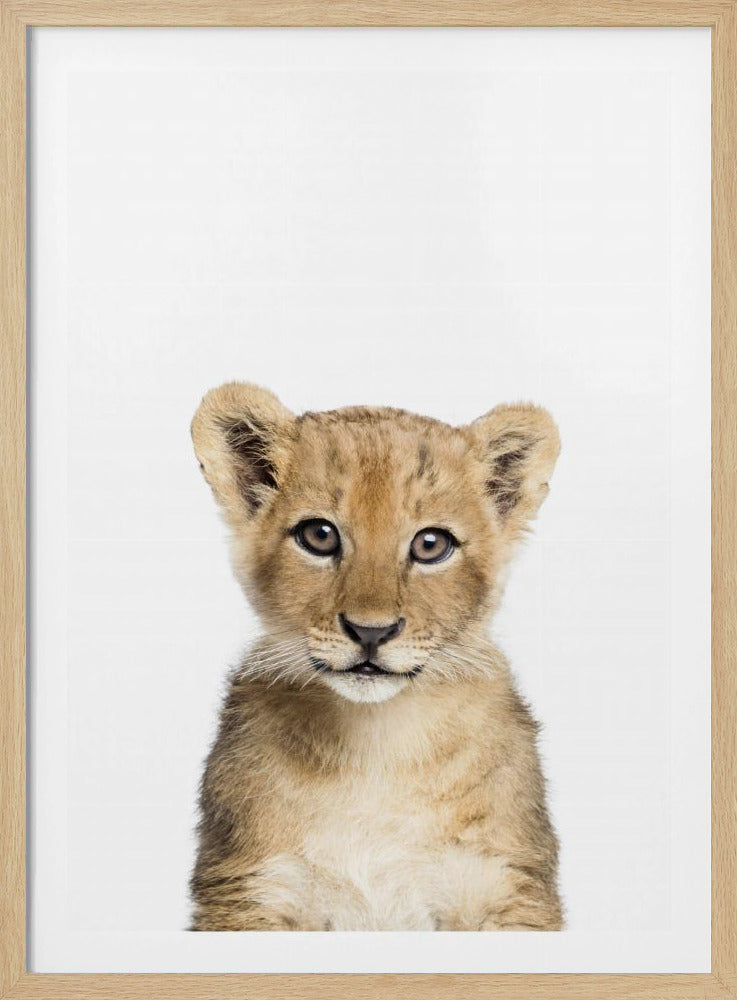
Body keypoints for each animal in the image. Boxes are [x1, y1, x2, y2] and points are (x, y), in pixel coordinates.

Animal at [189, 382, 563, 931]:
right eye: (319, 535)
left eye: (431, 544)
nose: (371, 631)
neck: (377, 746)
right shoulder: (251, 888)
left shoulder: (506, 885)